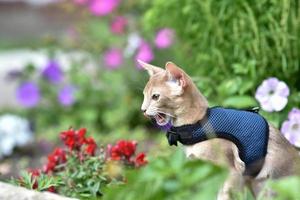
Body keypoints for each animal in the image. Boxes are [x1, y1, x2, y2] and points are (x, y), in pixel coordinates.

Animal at [139, 59, 300, 200]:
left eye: (155, 97)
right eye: (144, 96)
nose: (143, 110)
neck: (198, 124)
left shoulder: (233, 173)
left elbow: (225, 196)